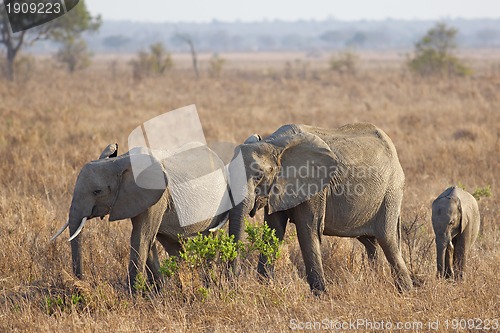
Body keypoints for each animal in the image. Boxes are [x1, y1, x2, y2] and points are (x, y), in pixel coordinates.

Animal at [49, 144, 229, 286]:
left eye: (97, 191)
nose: (80, 281)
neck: (119, 161)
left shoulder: (156, 196)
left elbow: (142, 236)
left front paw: (133, 294)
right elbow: (147, 238)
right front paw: (157, 292)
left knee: (212, 237)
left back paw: (209, 284)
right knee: (173, 245)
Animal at [229, 123, 412, 292]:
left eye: (258, 176)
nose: (234, 283)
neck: (274, 144)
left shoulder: (315, 188)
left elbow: (308, 230)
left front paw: (321, 294)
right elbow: (274, 230)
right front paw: (265, 287)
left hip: (391, 191)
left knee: (388, 240)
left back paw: (406, 291)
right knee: (371, 242)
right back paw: (376, 282)